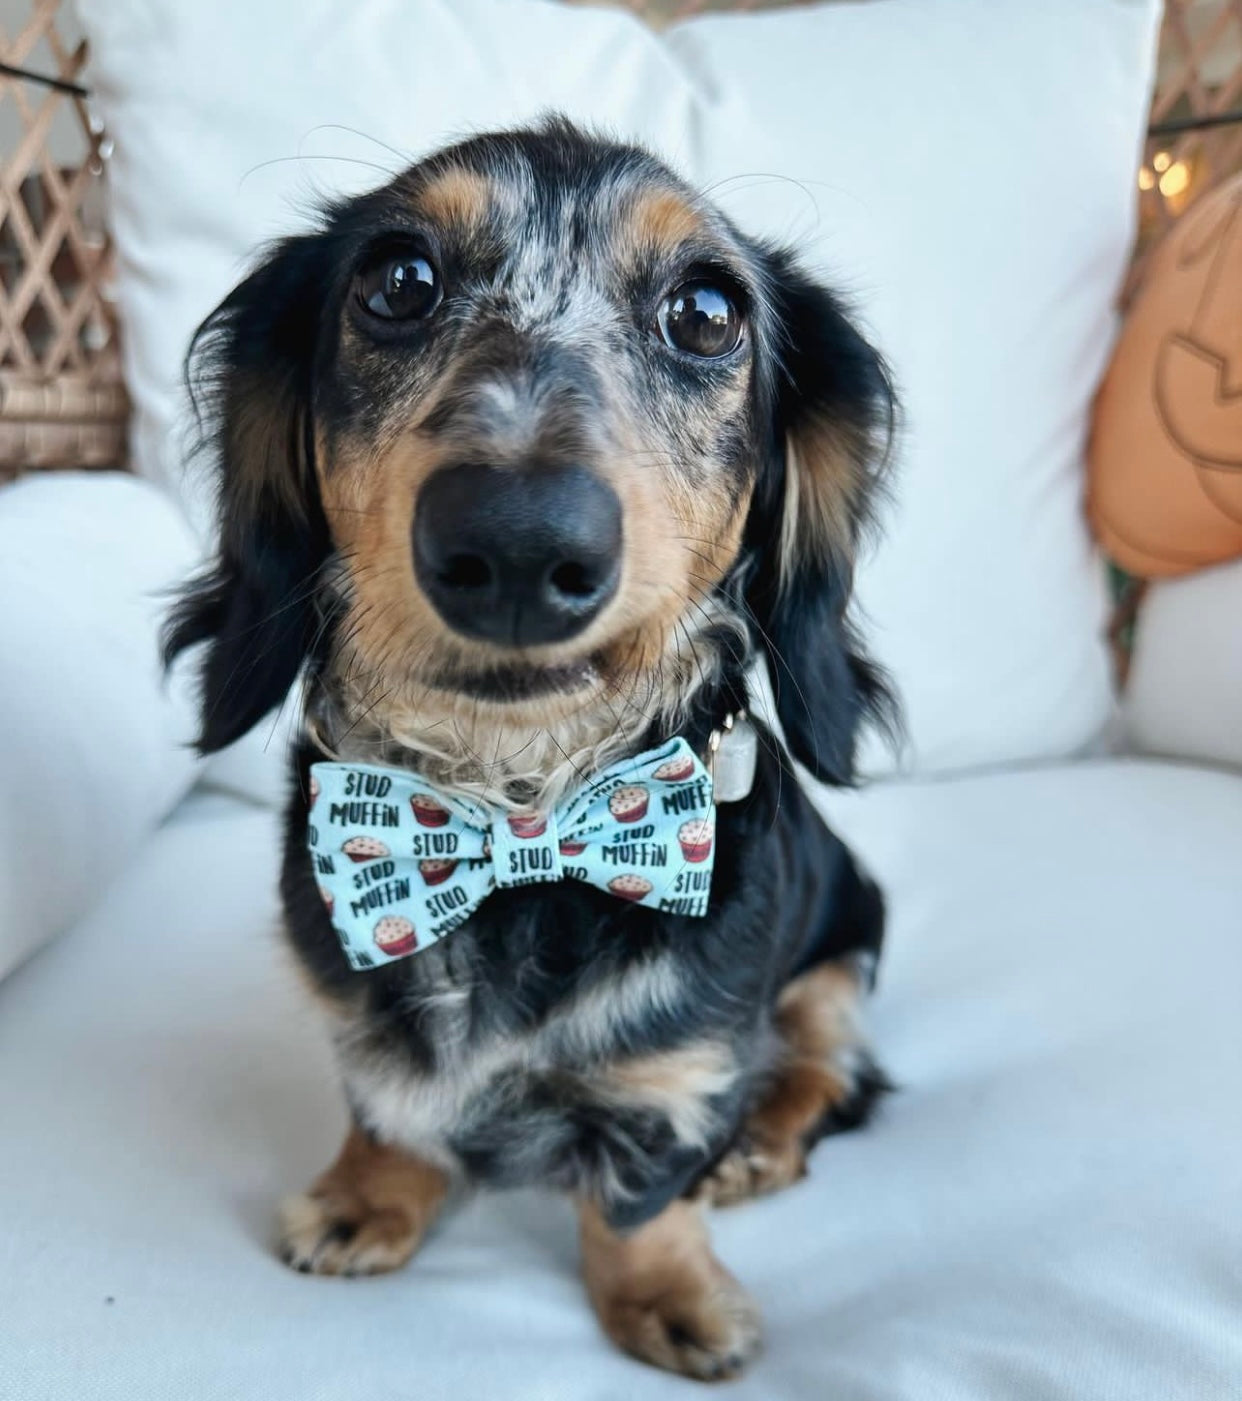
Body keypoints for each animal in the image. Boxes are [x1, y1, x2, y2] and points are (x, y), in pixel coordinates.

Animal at [170, 117, 896, 1378]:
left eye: (707, 312)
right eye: (397, 283)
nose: (516, 544)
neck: (518, 816)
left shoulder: (688, 1061)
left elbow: (643, 1197)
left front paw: (670, 1295)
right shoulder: (354, 1000)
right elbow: (384, 1108)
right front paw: (370, 1199)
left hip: (842, 950)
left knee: (822, 1068)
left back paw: (764, 1144)